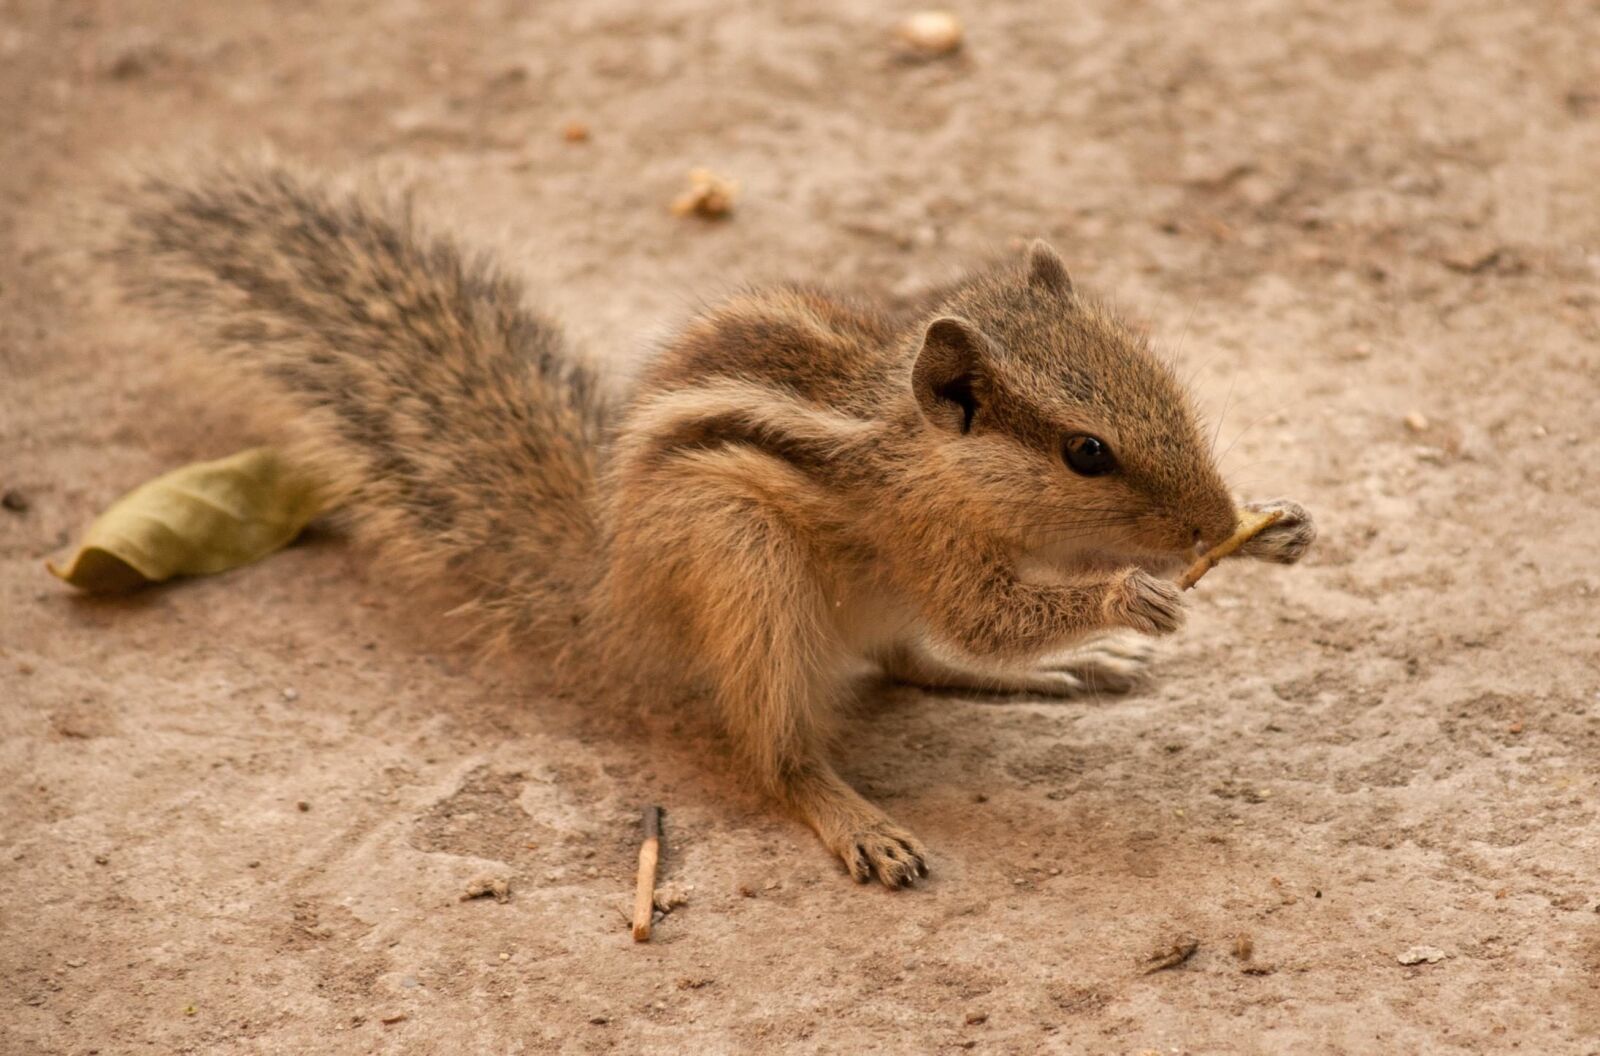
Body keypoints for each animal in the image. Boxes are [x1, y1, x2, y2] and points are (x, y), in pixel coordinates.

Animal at [112, 162, 1315, 888]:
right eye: (1086, 453)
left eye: (1164, 382)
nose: (1210, 517)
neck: (928, 454)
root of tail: (614, 596)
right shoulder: (928, 541)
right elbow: (986, 616)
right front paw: (1131, 594)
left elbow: (971, 637)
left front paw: (1276, 530)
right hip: (745, 564)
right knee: (775, 751)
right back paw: (852, 815)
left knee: (907, 661)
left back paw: (1058, 674)